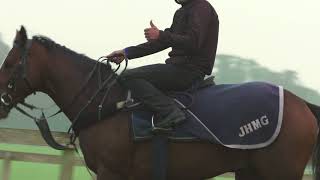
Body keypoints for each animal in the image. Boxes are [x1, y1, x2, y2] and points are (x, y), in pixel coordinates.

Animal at [0, 25, 320, 180]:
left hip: (280, 172)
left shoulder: (111, 173)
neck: (105, 104)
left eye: (11, 62)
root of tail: (302, 104)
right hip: (249, 172)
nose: (0, 100)